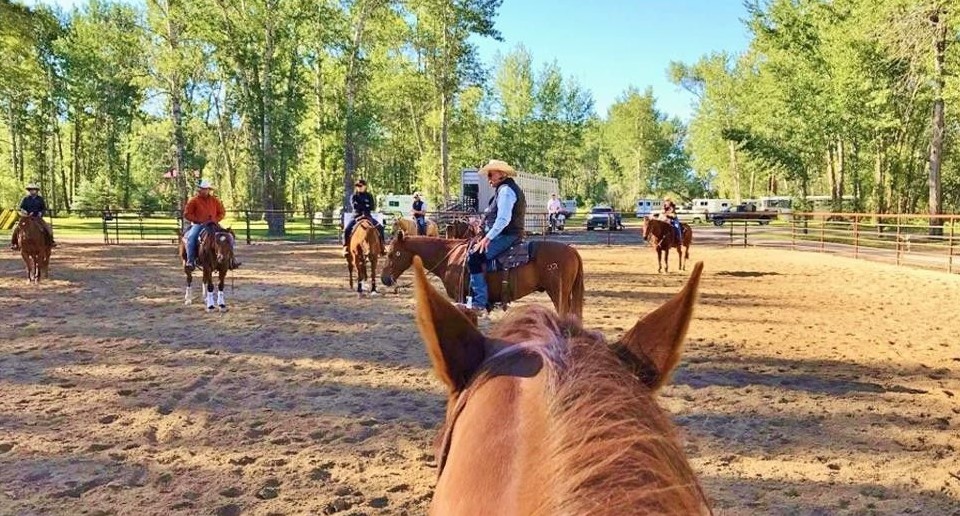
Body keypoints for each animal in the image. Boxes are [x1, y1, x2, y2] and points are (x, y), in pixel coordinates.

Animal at [378, 231, 580, 318]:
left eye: (393, 254)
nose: (384, 278)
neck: (450, 257)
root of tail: (572, 250)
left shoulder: (462, 298)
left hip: (558, 294)